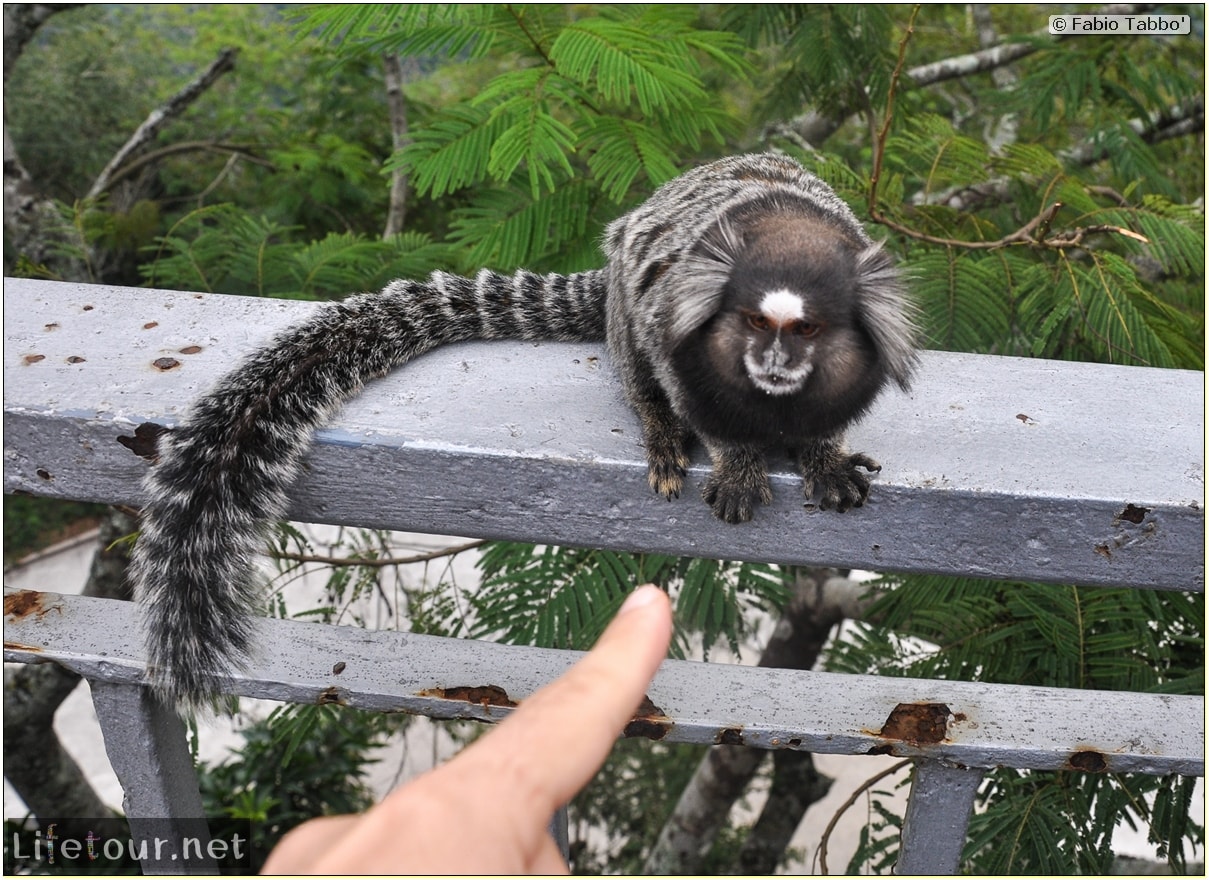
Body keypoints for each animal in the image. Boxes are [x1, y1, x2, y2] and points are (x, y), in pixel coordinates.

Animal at [129, 152, 914, 705]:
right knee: (634, 356)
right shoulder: (676, 319)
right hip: (625, 297)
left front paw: (822, 456)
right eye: (753, 321)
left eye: (808, 330)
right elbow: (693, 396)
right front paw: (738, 462)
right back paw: (659, 429)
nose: (773, 359)